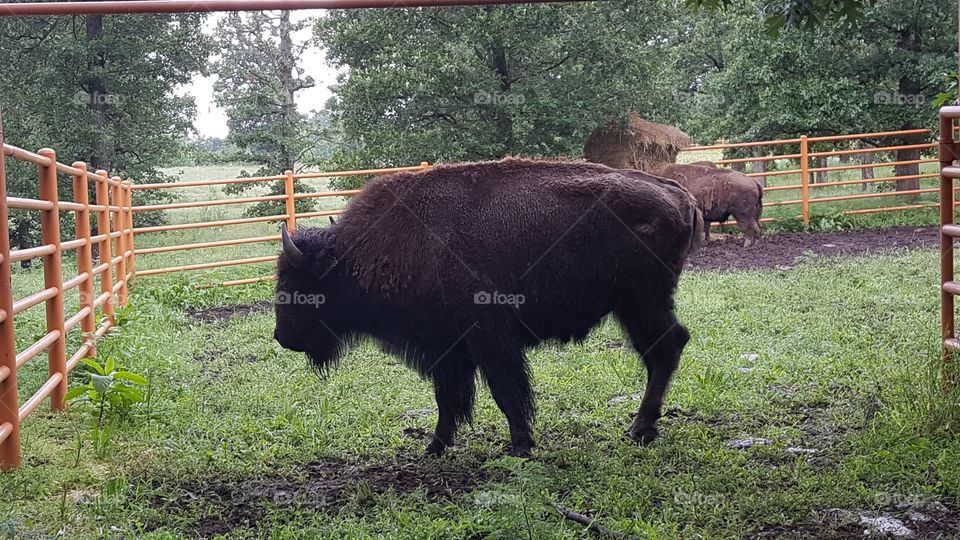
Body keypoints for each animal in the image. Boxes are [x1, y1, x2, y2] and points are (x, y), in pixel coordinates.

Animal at [274, 158, 702, 457]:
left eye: (293, 283)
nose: (281, 336)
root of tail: (678, 193)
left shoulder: (488, 340)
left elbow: (504, 391)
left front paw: (520, 445)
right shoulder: (448, 349)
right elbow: (449, 398)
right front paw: (435, 446)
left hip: (641, 304)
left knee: (665, 349)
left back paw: (640, 430)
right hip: (638, 307)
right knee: (665, 349)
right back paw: (643, 428)